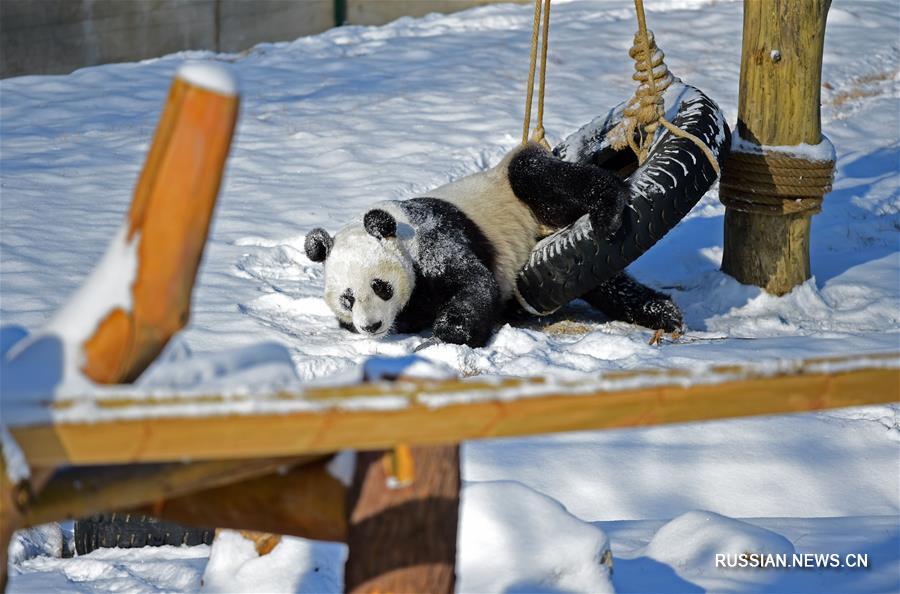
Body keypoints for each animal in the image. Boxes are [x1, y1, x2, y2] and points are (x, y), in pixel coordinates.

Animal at [304, 142, 684, 346]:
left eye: (380, 286)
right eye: (348, 299)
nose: (371, 326)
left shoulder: (435, 238)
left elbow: (474, 283)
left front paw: (452, 331)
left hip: (524, 193)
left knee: (538, 175)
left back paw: (608, 208)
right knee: (602, 281)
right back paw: (661, 311)